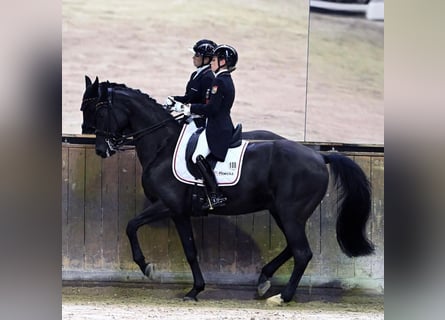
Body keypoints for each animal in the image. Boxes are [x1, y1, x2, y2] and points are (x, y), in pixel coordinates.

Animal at [85, 81, 372, 304]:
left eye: (98, 111)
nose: (101, 149)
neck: (163, 145)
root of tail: (319, 155)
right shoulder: (179, 212)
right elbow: (189, 249)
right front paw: (194, 289)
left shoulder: (170, 206)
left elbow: (133, 226)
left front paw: (149, 268)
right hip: (282, 212)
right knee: (294, 247)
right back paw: (264, 280)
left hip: (290, 214)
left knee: (302, 253)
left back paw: (283, 297)